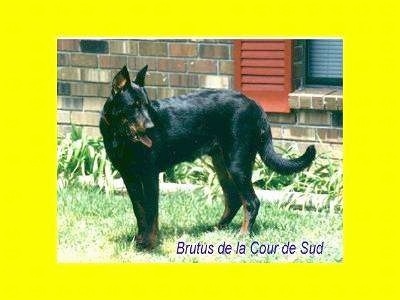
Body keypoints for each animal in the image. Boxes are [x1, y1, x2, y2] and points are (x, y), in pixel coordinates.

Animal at [101, 67, 316, 250]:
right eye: (134, 106)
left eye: (146, 105)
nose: (152, 127)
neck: (119, 136)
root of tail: (256, 107)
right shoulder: (129, 177)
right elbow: (140, 211)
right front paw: (139, 240)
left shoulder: (150, 175)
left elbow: (151, 212)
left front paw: (150, 243)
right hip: (221, 165)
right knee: (234, 200)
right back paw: (217, 228)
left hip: (237, 165)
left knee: (252, 202)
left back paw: (243, 235)